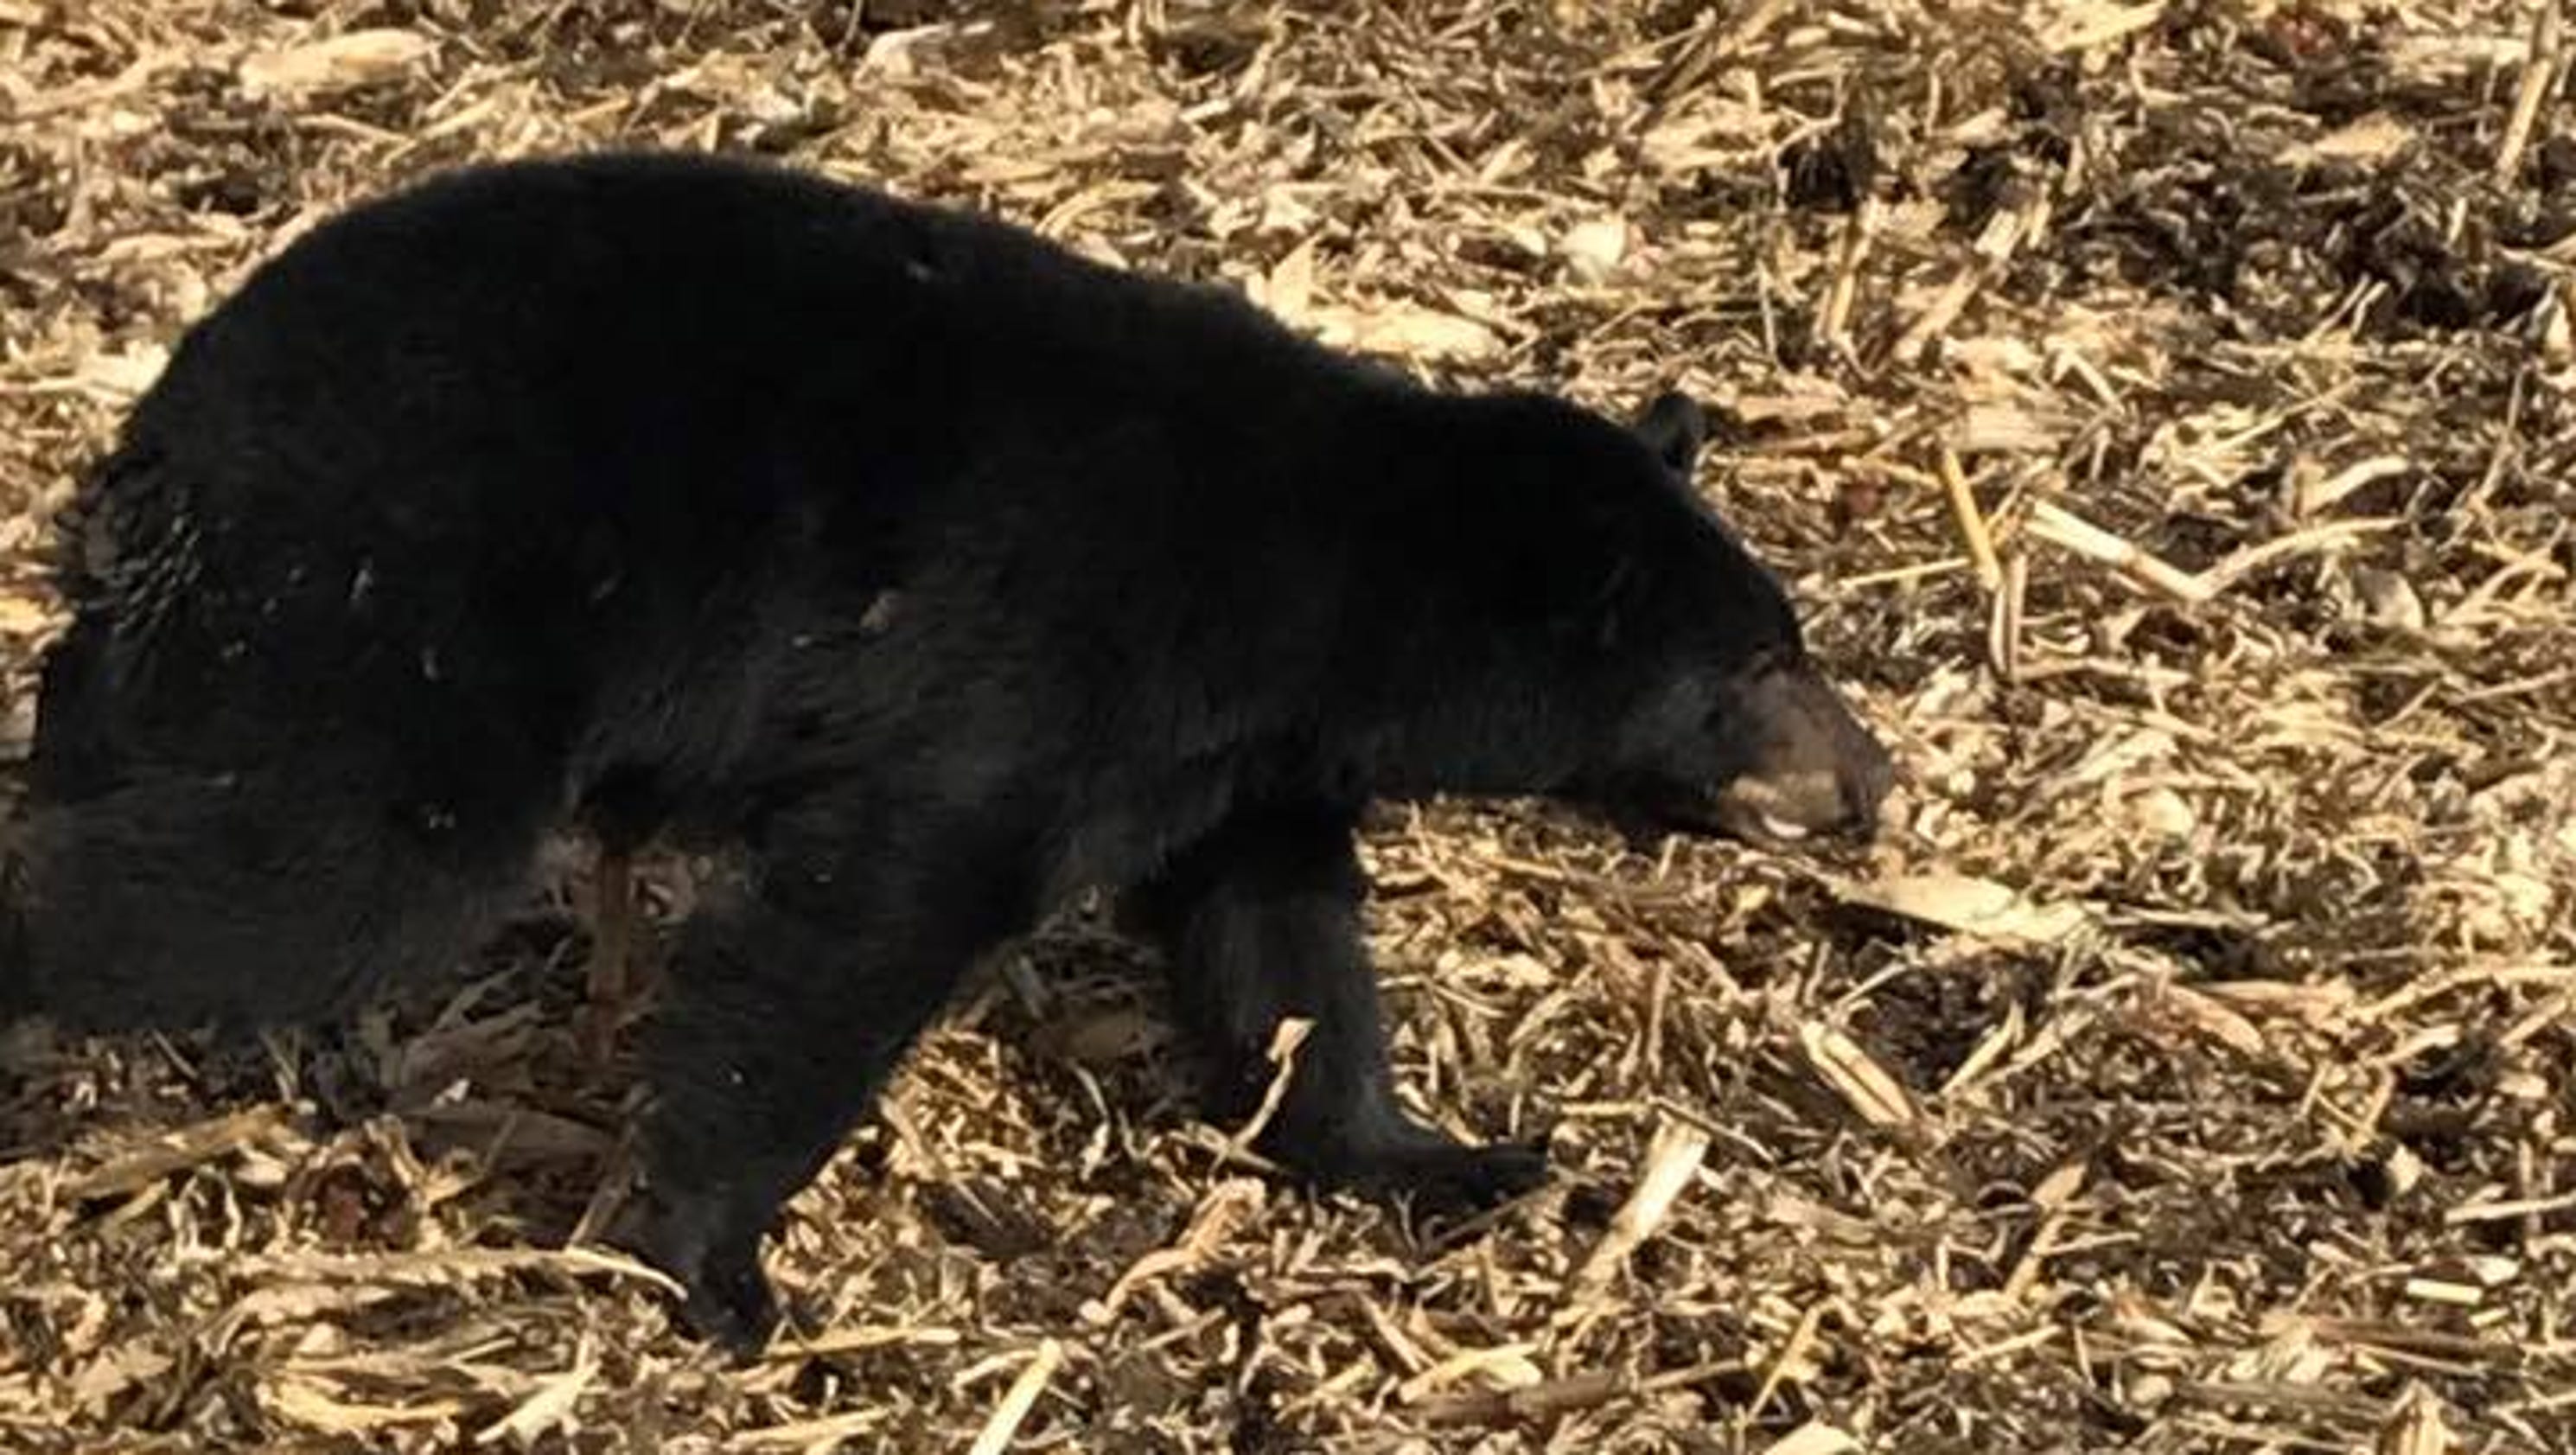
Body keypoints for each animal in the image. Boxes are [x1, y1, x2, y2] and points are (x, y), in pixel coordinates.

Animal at [0, 150, 1894, 1354]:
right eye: (1755, 666)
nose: (1875, 778)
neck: (1322, 577)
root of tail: (163, 434)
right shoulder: (1040, 668)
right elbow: (860, 919)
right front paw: (708, 1265)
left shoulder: (1235, 758)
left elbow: (1276, 943)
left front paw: (1435, 1152)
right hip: (397, 602)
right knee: (311, 867)